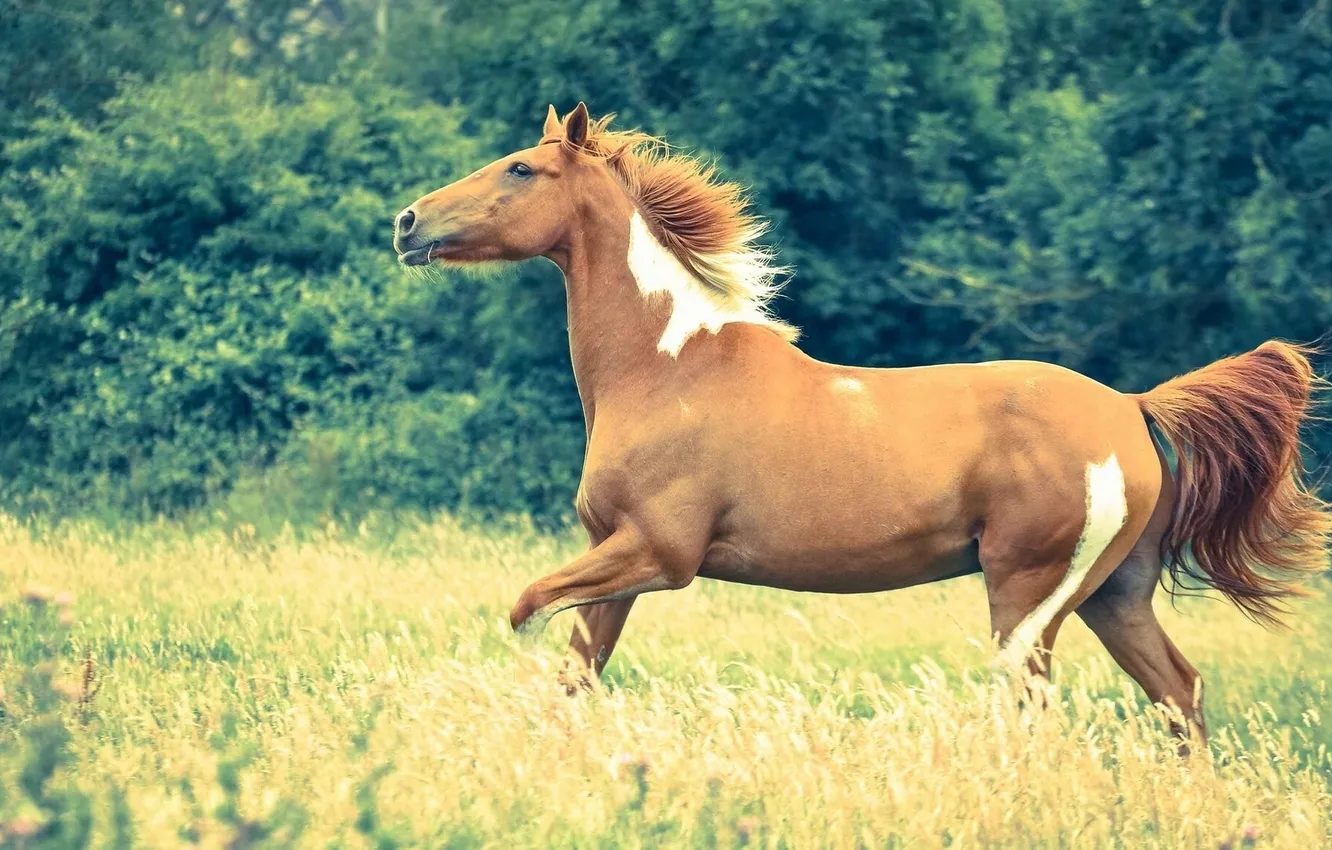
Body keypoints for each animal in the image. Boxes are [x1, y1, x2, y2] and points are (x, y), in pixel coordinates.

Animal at [394, 103, 1332, 741]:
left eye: (521, 169)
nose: (406, 223)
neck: (667, 369)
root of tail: (1133, 411)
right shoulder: (616, 564)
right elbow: (575, 673)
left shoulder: (660, 555)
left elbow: (524, 608)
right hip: (1114, 594)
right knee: (1180, 692)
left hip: (1028, 593)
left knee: (1038, 704)